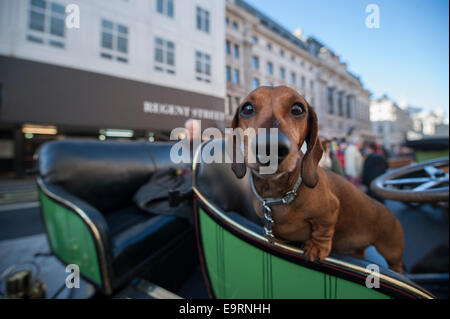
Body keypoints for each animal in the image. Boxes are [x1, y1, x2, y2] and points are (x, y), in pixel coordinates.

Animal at [232, 86, 404, 274]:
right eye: (247, 108)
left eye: (297, 109)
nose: (271, 147)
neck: (279, 194)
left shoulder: (330, 211)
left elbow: (323, 230)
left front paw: (316, 247)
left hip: (391, 250)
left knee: (396, 265)